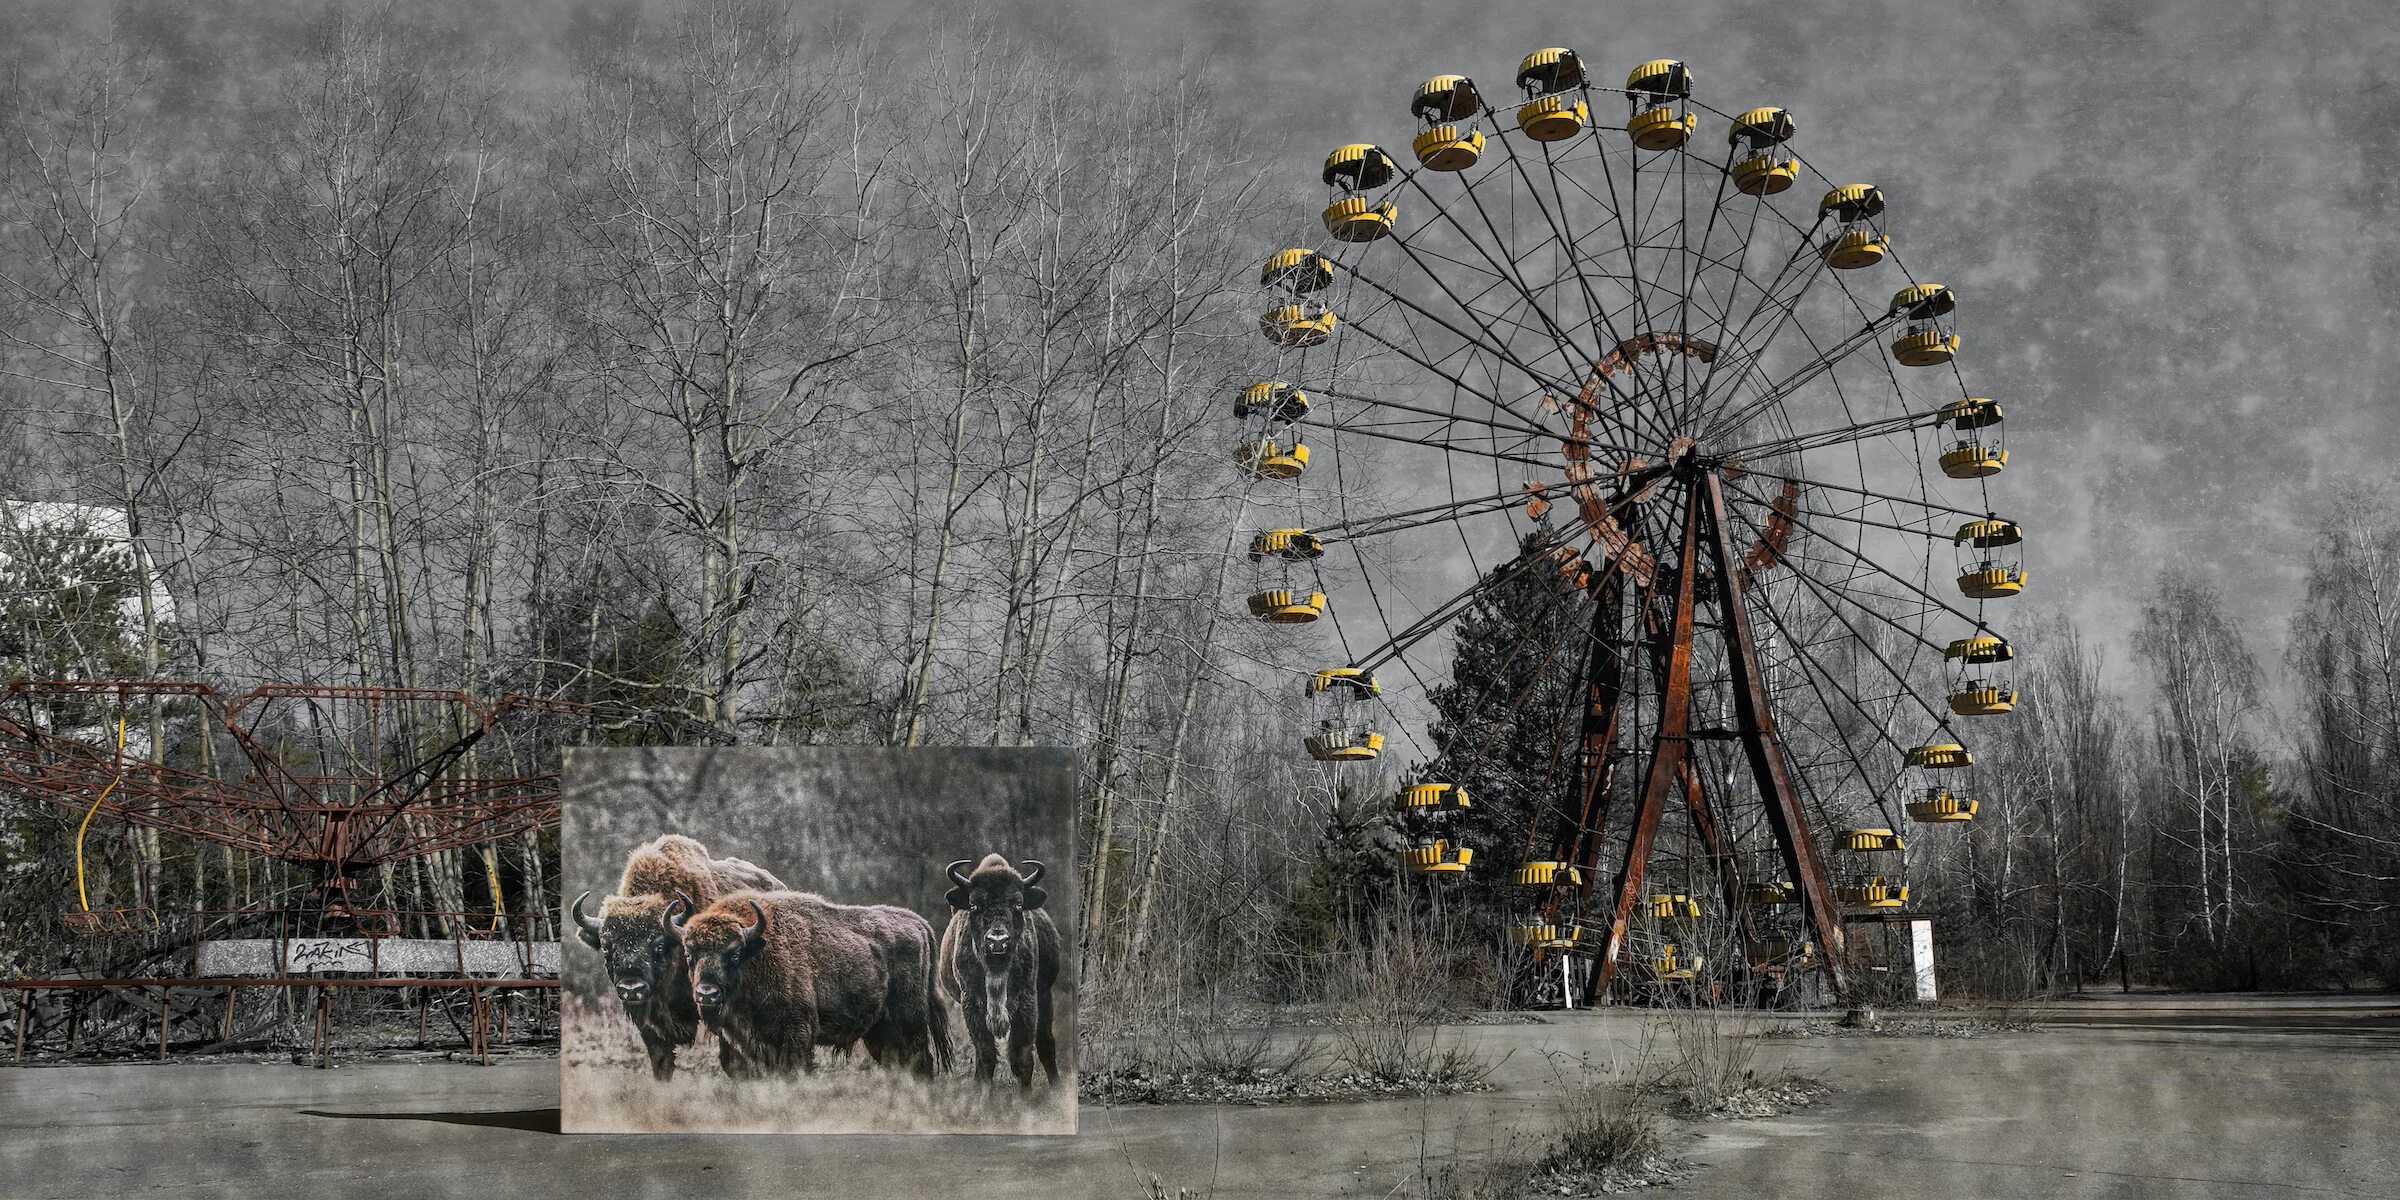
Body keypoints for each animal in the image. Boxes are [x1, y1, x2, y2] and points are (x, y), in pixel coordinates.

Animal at [672, 892, 950, 1080]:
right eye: (689, 954)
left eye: (734, 954)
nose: (706, 994)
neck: (757, 955)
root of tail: (917, 923)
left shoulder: (797, 1032)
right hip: (879, 1030)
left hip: (910, 1022)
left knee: (921, 1060)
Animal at [936, 854, 1060, 1089]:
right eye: (974, 905)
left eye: (1018, 904)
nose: (997, 941)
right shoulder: (972, 1004)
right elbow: (986, 1056)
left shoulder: (1027, 1001)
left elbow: (1022, 1058)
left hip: (1045, 996)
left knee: (1046, 1044)